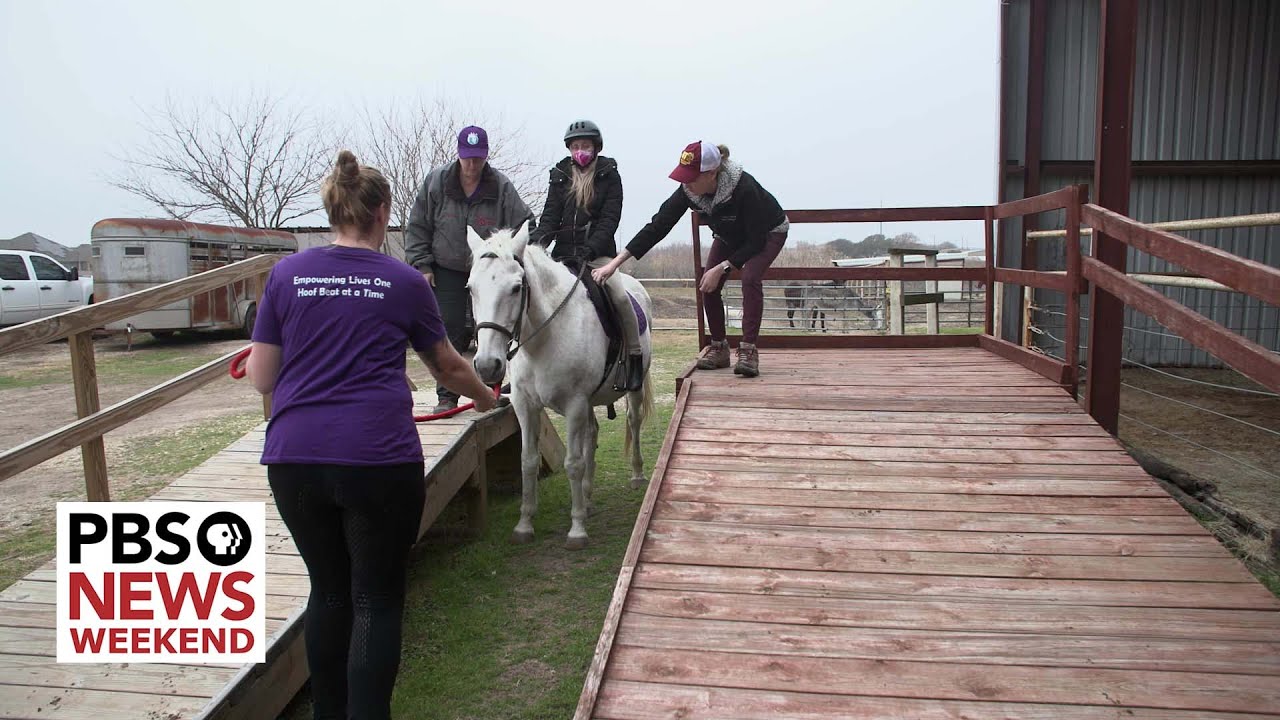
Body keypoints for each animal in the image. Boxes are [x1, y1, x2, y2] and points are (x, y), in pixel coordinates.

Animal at [465, 221, 655, 545]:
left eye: (516, 288)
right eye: (471, 288)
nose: (488, 365)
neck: (544, 338)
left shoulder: (575, 403)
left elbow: (573, 463)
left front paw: (577, 529)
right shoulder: (525, 405)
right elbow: (528, 461)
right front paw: (524, 524)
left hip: (633, 388)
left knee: (633, 420)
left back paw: (636, 475)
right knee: (592, 433)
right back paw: (587, 498)